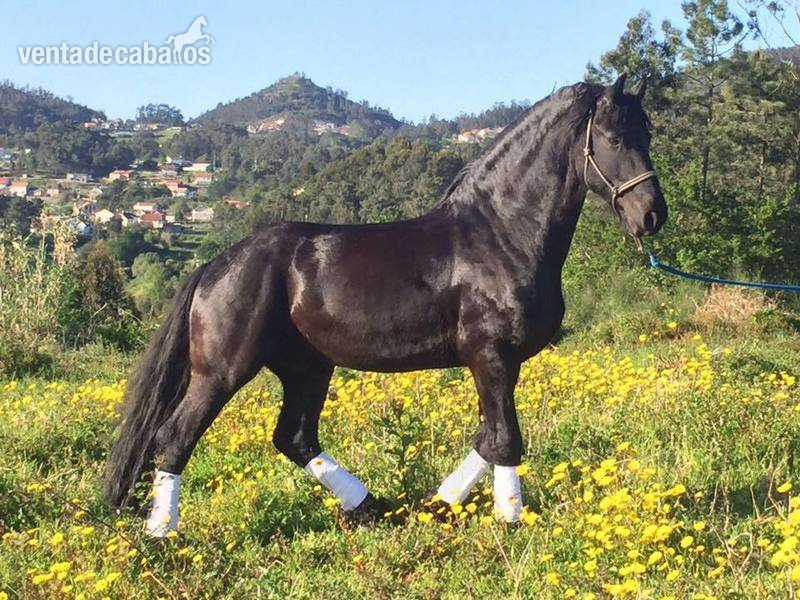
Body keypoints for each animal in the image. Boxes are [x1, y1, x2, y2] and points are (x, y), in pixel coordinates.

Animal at [105, 75, 667, 536]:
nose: (651, 216)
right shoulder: (490, 356)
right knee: (174, 437)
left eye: (647, 135)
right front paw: (511, 520)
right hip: (222, 371)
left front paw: (439, 505)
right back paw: (162, 535)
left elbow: (487, 439)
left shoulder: (499, 364)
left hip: (308, 367)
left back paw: (371, 508)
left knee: (294, 437)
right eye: (615, 139)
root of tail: (214, 265)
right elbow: (505, 440)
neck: (501, 234)